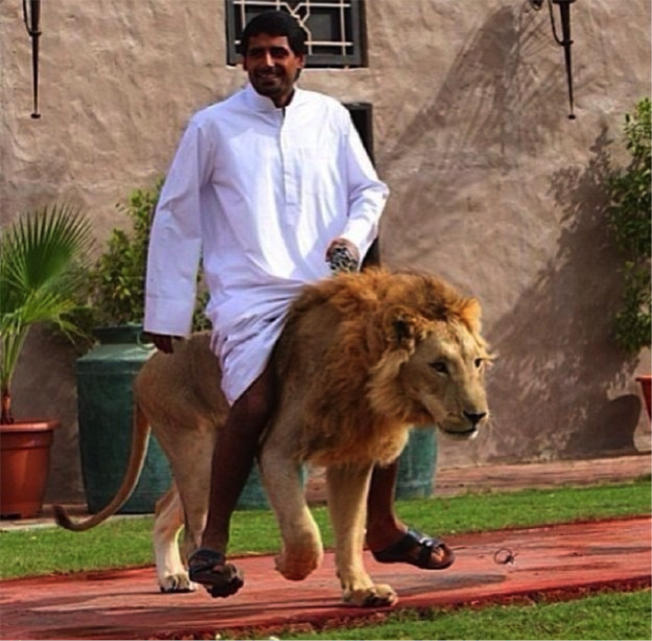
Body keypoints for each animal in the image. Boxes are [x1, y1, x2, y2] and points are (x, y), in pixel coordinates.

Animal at [55, 268, 491, 608]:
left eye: (476, 362)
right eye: (438, 366)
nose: (477, 415)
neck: (370, 380)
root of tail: (149, 362)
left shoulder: (353, 457)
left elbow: (351, 532)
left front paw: (360, 591)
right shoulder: (277, 449)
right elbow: (304, 534)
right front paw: (287, 565)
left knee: (164, 508)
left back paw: (174, 577)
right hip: (195, 447)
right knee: (197, 523)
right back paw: (211, 572)